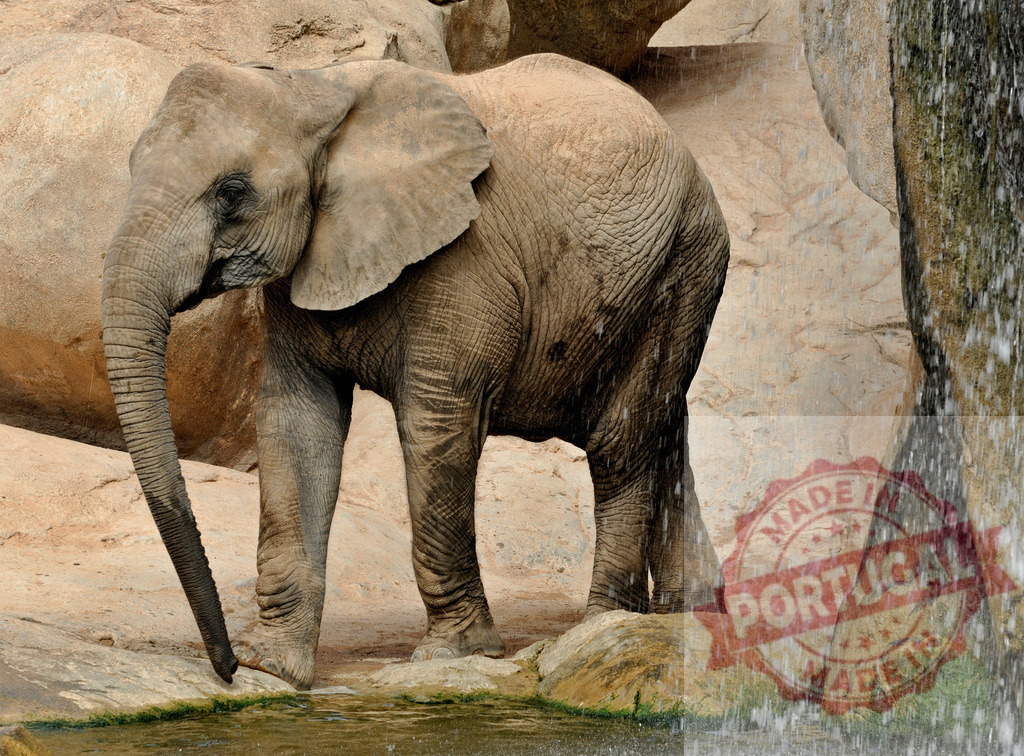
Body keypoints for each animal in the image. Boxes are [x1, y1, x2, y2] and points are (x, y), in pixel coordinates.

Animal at [101, 52, 730, 688]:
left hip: (683, 266)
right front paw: (273, 666)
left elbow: (436, 423)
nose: (226, 666)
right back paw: (687, 610)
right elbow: (296, 421)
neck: (312, 88)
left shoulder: (465, 256)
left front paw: (455, 654)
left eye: (232, 192)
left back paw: (605, 625)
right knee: (663, 430)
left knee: (620, 442)